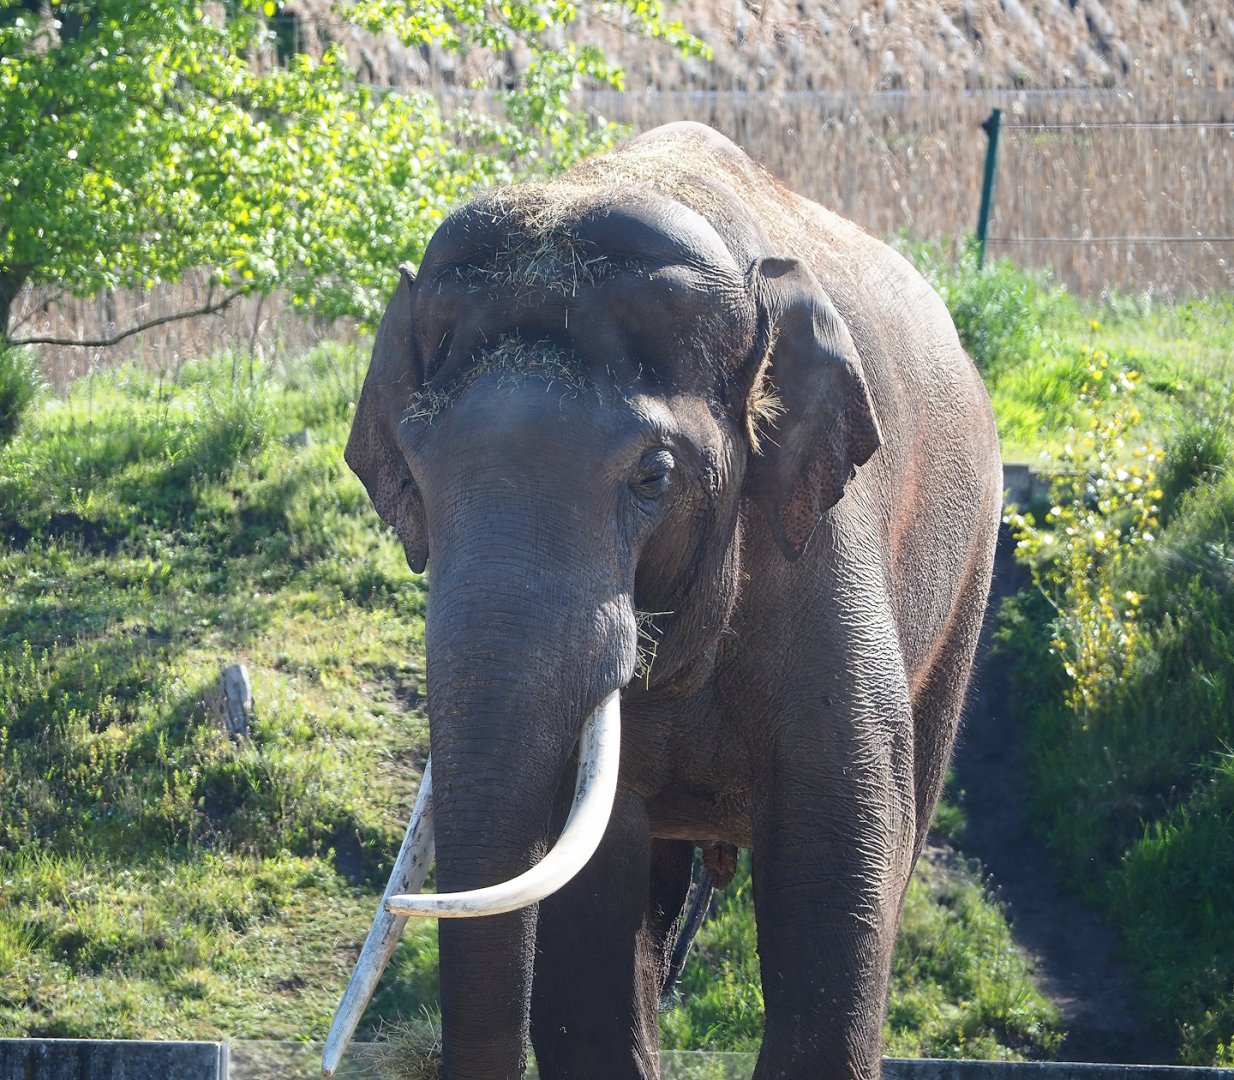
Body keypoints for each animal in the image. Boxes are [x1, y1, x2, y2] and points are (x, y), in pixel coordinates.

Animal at [326, 121, 1002, 1080]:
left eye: (654, 476)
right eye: (413, 477)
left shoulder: (823, 559)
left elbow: (840, 881)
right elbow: (595, 926)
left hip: (969, 576)